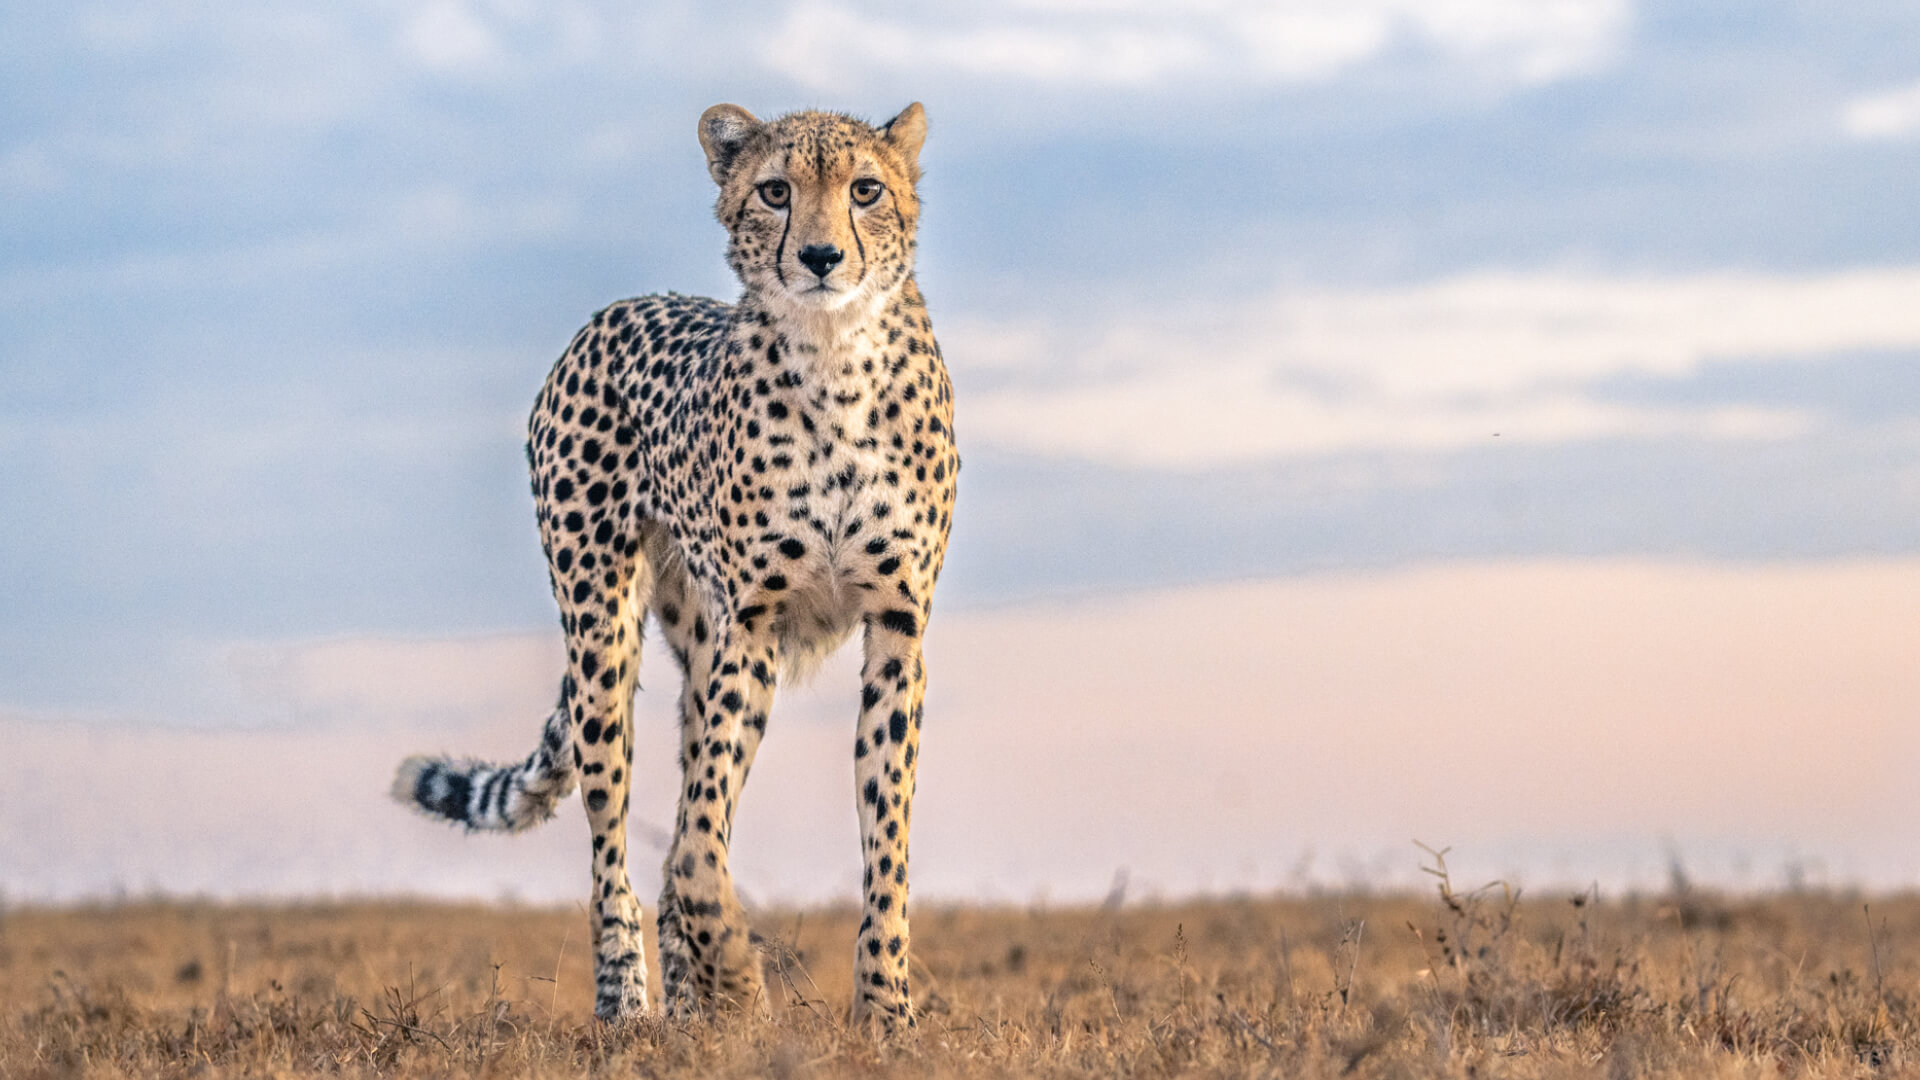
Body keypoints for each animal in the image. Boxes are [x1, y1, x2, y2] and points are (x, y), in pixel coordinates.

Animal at [392, 102, 956, 1034]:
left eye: (866, 190)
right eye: (775, 191)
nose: (821, 257)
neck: (835, 358)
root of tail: (619, 306)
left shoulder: (897, 626)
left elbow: (886, 839)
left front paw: (885, 1010)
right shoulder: (750, 626)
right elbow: (694, 845)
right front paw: (741, 983)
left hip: (694, 649)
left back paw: (693, 1008)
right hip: (602, 638)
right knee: (614, 844)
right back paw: (629, 1002)